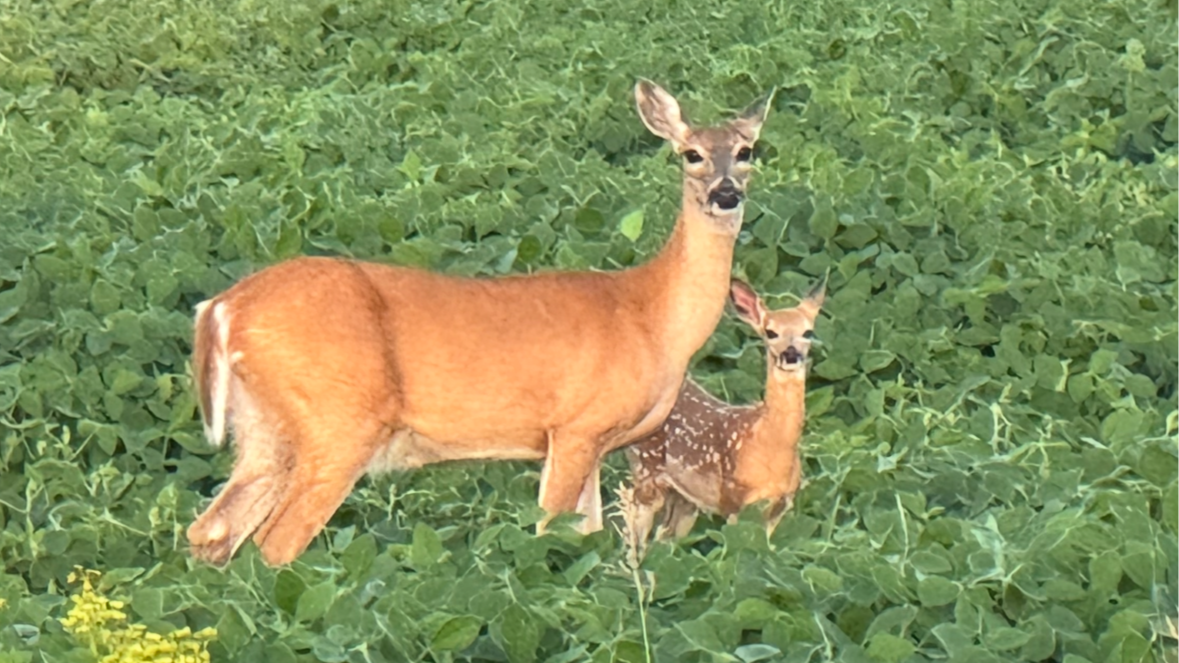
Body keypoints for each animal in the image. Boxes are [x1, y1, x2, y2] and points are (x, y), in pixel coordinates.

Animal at [185, 79, 774, 566]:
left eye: (747, 151)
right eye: (691, 153)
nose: (726, 193)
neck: (651, 315)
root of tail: (221, 308)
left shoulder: (591, 442)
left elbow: (586, 534)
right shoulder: (576, 424)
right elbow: (549, 530)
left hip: (264, 424)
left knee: (211, 530)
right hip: (337, 418)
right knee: (276, 542)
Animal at [624, 278, 825, 555]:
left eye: (808, 332)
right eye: (770, 332)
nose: (791, 355)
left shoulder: (779, 505)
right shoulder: (734, 500)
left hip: (684, 497)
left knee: (665, 538)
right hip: (644, 469)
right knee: (635, 538)